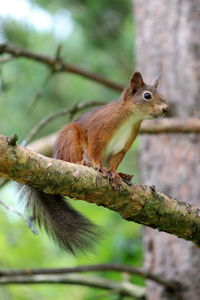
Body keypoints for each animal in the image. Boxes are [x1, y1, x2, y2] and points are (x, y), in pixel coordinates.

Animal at [18, 71, 167, 254]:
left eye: (161, 94)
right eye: (147, 95)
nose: (166, 109)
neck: (131, 118)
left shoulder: (124, 145)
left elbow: (114, 161)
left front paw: (116, 174)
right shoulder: (99, 131)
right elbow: (96, 150)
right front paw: (99, 167)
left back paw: (123, 175)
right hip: (69, 138)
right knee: (71, 159)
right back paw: (84, 164)